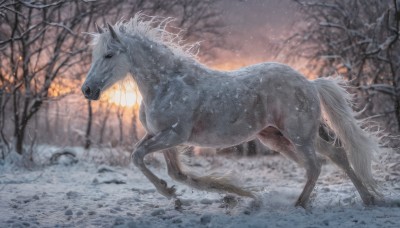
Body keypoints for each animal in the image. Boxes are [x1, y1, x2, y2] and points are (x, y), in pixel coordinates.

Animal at [80, 13, 382, 207]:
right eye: (96, 54)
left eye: (109, 54)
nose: (88, 90)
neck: (167, 83)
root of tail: (309, 82)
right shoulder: (161, 136)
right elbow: (168, 169)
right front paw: (185, 195)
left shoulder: (173, 136)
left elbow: (140, 157)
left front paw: (174, 193)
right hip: (279, 137)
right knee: (334, 155)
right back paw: (368, 199)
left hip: (298, 135)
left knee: (317, 164)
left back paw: (299, 203)